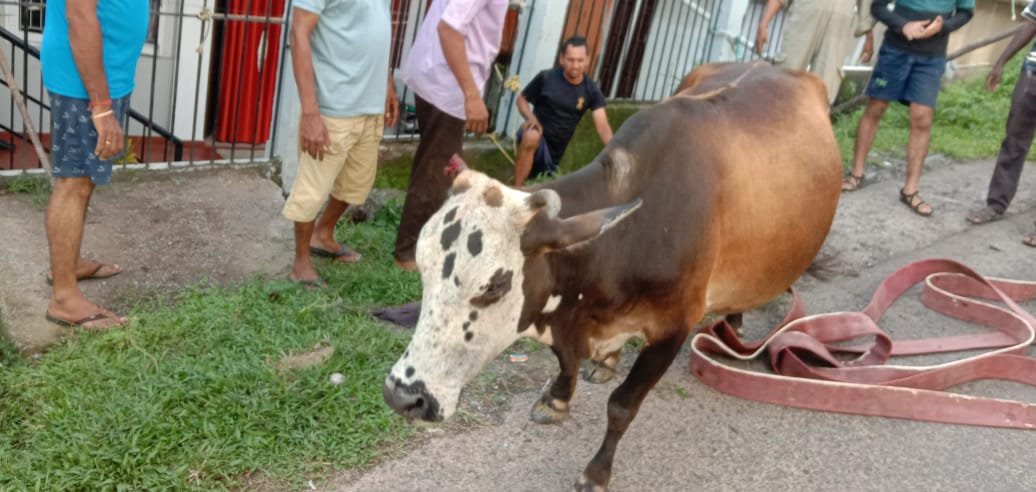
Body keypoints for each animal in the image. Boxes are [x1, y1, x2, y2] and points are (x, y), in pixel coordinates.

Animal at [382, 62, 841, 490]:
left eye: (494, 286)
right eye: (423, 271)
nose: (403, 396)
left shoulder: (675, 326)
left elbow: (622, 406)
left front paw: (596, 473)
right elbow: (565, 362)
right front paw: (558, 399)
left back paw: (735, 325)